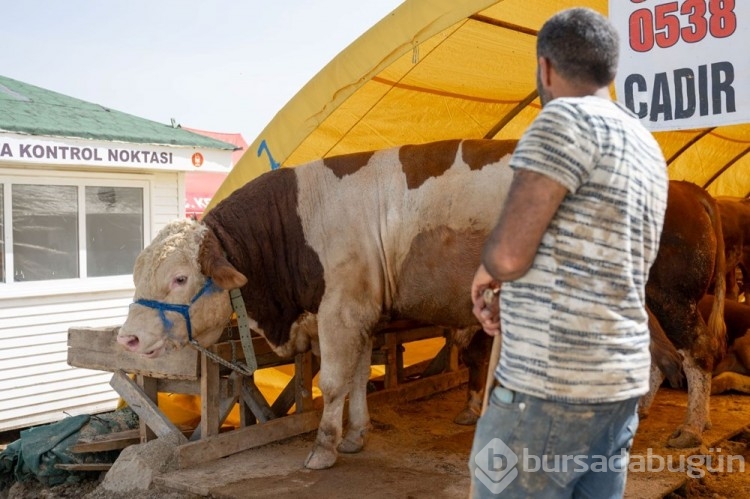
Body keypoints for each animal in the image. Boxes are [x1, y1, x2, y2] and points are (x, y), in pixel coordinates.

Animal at [116, 140, 516, 468]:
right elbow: (358, 376)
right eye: (135, 275)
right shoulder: (359, 315)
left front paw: (324, 449)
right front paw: (355, 436)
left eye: (180, 278)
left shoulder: (342, 311)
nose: (127, 338)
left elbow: (335, 381)